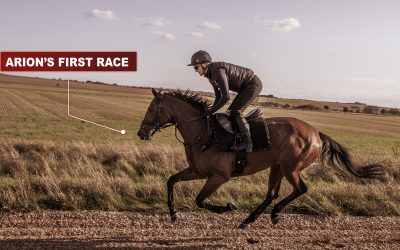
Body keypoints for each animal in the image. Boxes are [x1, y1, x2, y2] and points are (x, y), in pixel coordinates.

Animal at [138, 88, 384, 229]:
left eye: (150, 110)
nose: (141, 133)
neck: (204, 133)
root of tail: (316, 133)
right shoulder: (197, 171)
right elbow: (171, 180)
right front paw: (172, 213)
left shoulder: (219, 176)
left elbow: (199, 199)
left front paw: (226, 207)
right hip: (277, 167)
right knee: (272, 194)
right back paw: (249, 219)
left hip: (291, 167)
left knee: (300, 189)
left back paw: (273, 214)